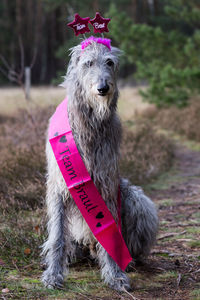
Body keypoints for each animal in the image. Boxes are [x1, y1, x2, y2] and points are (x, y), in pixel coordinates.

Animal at [41, 39, 159, 290]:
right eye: (88, 63)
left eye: (110, 62)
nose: (103, 88)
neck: (91, 122)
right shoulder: (58, 185)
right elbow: (57, 235)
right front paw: (53, 274)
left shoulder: (106, 183)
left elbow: (111, 232)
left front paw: (115, 273)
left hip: (132, 197)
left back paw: (129, 260)